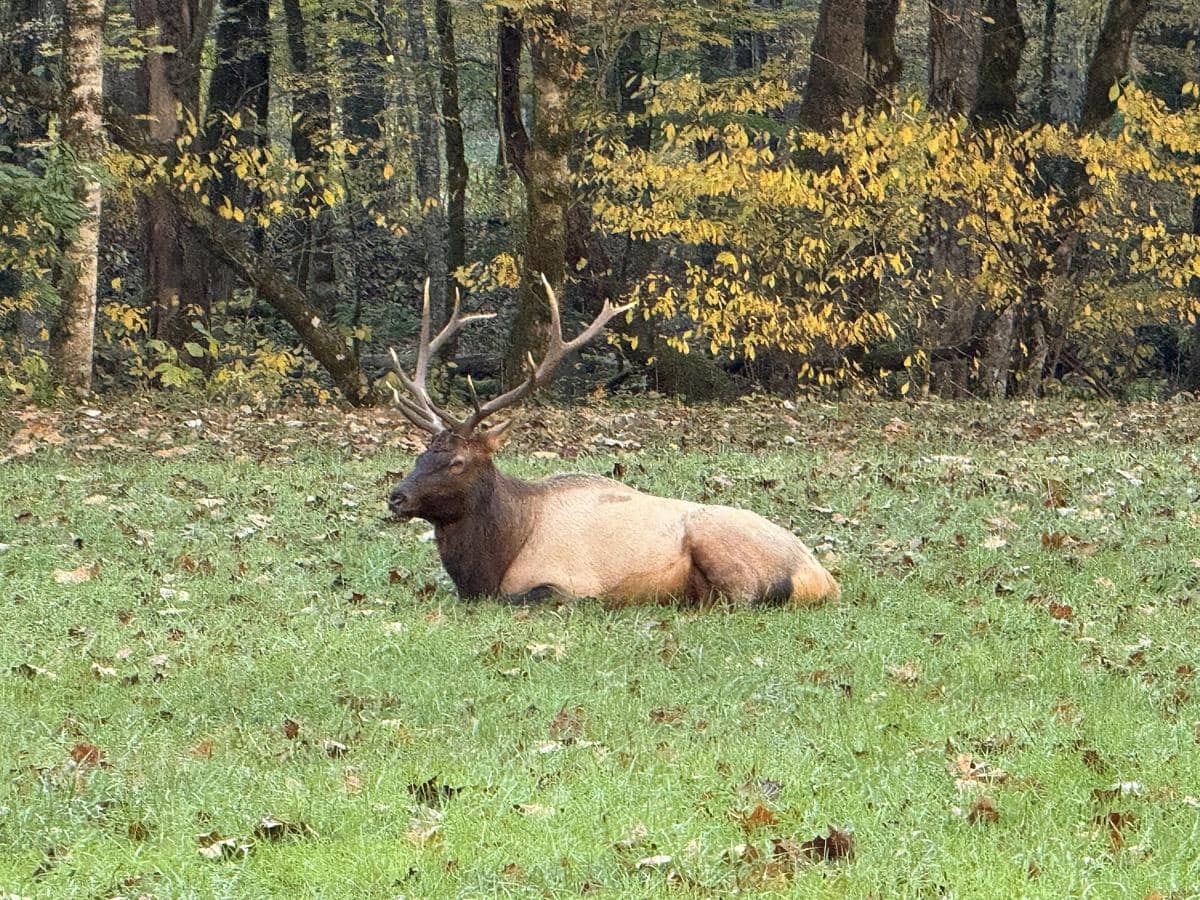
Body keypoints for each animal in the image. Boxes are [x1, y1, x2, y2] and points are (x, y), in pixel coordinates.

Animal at [385, 277, 840, 607]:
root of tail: (822, 579)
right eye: (421, 454)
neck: (495, 558)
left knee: (740, 600)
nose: (396, 496)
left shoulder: (566, 580)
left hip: (719, 543)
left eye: (457, 461)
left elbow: (532, 597)